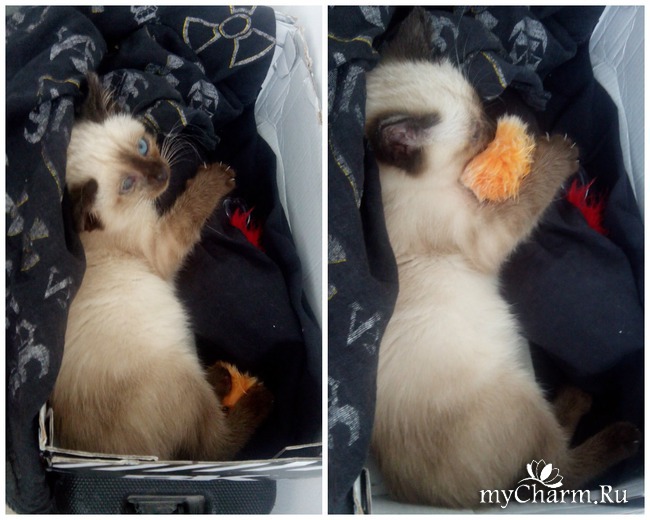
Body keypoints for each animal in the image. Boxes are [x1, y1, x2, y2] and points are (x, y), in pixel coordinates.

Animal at [51, 73, 272, 461]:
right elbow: (188, 209)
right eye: (128, 184)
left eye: (142, 147)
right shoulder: (161, 245)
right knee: (214, 445)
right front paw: (216, 179)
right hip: (180, 376)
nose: (162, 173)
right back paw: (256, 396)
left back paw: (221, 376)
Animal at [365, 8, 640, 508]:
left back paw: (576, 396)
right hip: (518, 399)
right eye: (476, 133)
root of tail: (452, 501)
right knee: (556, 467)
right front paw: (556, 150)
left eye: (480, 107)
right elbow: (528, 195)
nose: (495, 128)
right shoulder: (485, 233)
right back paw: (608, 422)